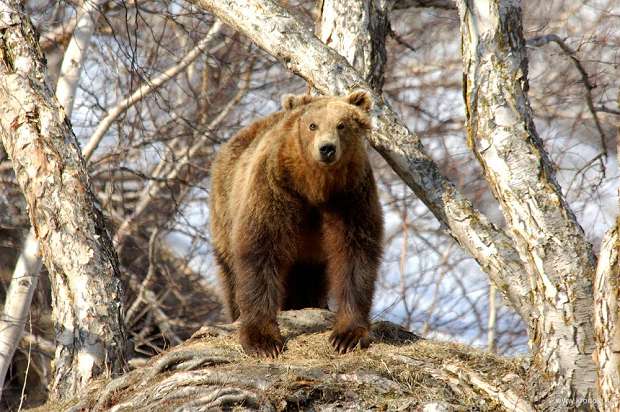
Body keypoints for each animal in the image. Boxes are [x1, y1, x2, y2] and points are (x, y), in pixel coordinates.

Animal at [208, 91, 382, 358]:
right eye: (312, 125)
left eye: (341, 125)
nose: (327, 149)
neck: (314, 187)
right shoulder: (276, 187)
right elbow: (260, 248)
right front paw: (263, 340)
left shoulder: (350, 196)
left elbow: (355, 252)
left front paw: (347, 336)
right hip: (224, 207)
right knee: (231, 272)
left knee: (309, 280)